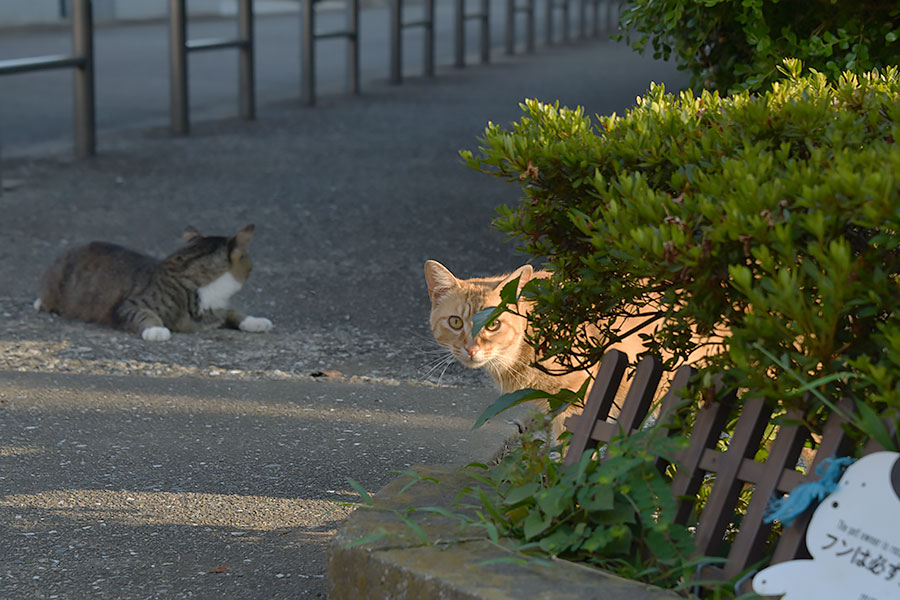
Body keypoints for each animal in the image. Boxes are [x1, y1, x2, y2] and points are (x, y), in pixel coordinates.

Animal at [35, 224, 272, 340]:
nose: (252, 267)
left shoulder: (220, 310)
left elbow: (234, 312)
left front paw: (254, 321)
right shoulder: (128, 305)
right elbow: (145, 314)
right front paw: (156, 330)